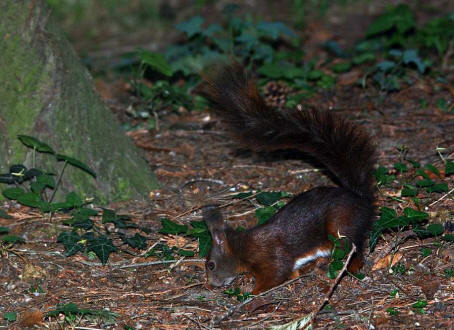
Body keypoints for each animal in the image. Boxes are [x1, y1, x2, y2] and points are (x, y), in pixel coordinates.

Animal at [199, 62, 376, 294]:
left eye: (211, 264)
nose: (211, 284)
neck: (242, 246)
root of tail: (361, 198)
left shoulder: (270, 255)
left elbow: (277, 272)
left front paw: (252, 293)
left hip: (340, 225)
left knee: (353, 249)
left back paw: (348, 267)